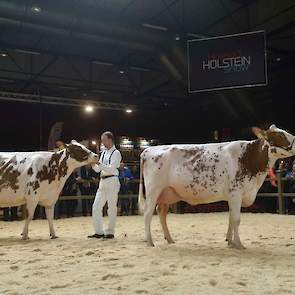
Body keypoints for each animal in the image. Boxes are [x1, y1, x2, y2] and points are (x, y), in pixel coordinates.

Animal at [139, 125, 295, 250]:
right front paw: (239, 244)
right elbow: (236, 219)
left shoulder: (234, 196)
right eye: (280, 135)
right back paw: (149, 242)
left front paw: (230, 242)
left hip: (167, 193)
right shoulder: (236, 193)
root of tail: (147, 150)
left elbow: (231, 218)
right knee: (148, 214)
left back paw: (170, 239)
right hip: (153, 190)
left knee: (161, 213)